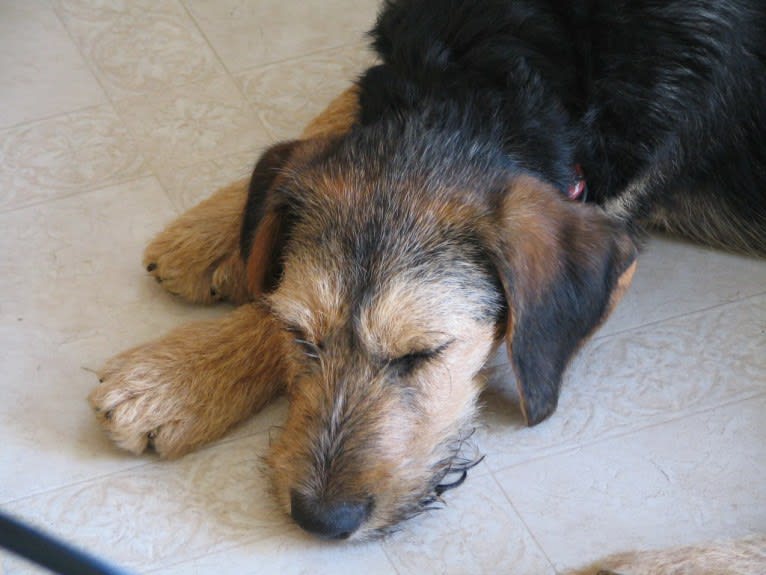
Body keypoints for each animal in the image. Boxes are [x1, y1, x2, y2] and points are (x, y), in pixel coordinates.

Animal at [88, 0, 760, 544]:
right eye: (302, 338)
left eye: (424, 354)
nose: (321, 520)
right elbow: (331, 122)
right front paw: (217, 238)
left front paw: (172, 381)